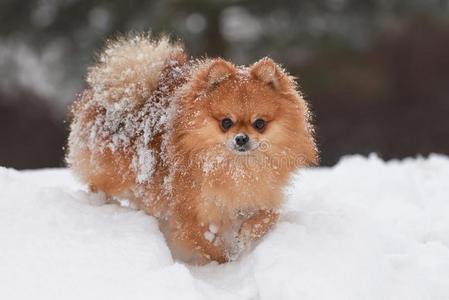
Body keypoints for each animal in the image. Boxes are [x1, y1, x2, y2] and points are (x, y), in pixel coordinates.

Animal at [67, 34, 318, 264]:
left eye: (259, 124)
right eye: (226, 122)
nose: (241, 139)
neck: (235, 168)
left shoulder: (260, 195)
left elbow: (268, 216)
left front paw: (245, 236)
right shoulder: (188, 212)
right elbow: (203, 242)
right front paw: (224, 262)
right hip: (115, 174)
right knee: (99, 186)